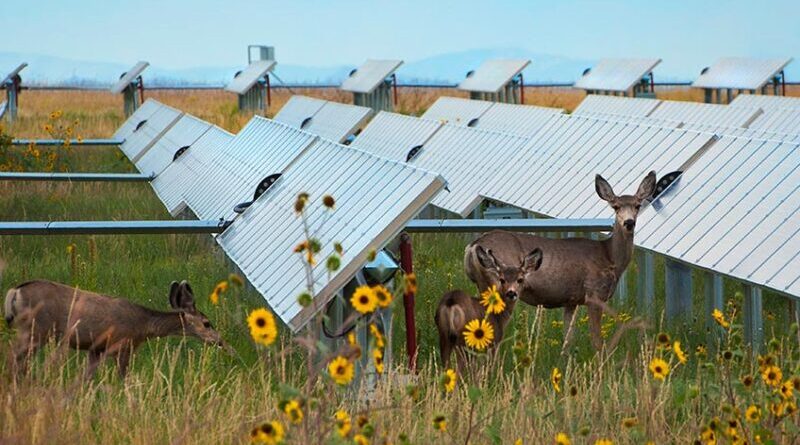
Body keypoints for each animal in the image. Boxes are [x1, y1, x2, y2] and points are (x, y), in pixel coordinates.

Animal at [3, 280, 228, 376]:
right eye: (207, 323)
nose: (220, 342)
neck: (144, 325)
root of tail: (14, 291)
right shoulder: (123, 345)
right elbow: (124, 378)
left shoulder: (96, 348)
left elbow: (86, 378)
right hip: (37, 330)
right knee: (14, 356)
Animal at [462, 172, 656, 348]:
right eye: (615, 206)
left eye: (638, 205)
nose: (629, 222)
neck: (609, 257)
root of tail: (472, 246)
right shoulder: (594, 293)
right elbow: (597, 341)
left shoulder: (571, 300)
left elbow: (568, 340)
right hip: (499, 286)